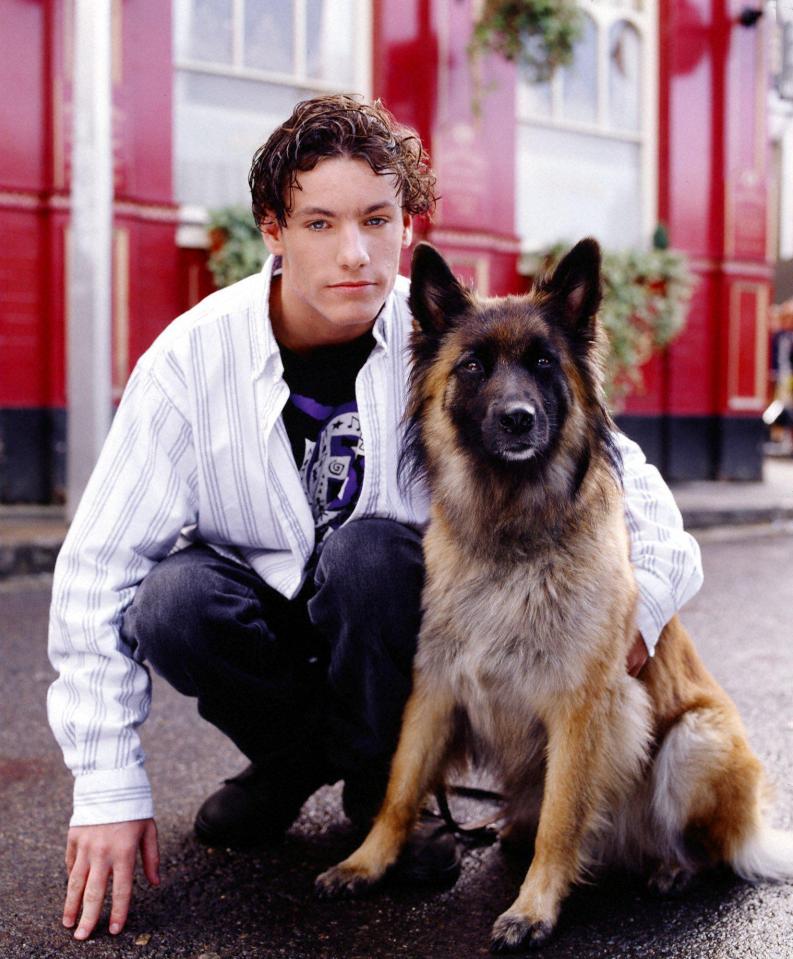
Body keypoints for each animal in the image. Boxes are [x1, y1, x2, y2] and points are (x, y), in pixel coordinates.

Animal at [314, 240, 792, 952]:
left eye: (543, 363)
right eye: (474, 365)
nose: (518, 419)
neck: (514, 534)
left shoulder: (581, 711)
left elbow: (563, 820)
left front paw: (533, 909)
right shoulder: (434, 690)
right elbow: (399, 790)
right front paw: (365, 864)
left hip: (695, 739)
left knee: (707, 849)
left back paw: (669, 867)